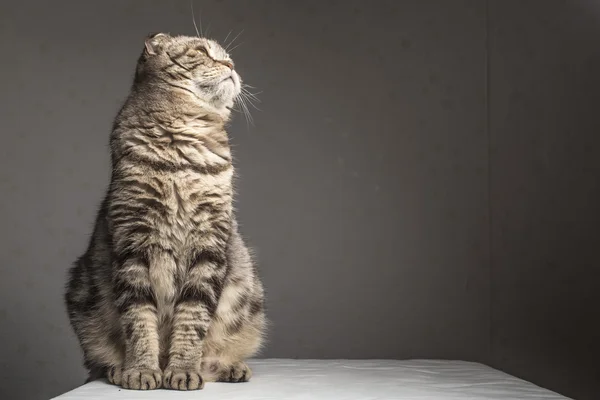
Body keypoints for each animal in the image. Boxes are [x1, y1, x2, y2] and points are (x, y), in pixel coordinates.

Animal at [63, 33, 268, 390]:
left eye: (227, 56)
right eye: (202, 52)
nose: (230, 64)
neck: (181, 157)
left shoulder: (209, 245)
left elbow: (193, 317)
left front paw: (183, 369)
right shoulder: (132, 244)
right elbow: (138, 319)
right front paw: (142, 370)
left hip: (250, 291)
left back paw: (227, 367)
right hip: (81, 294)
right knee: (98, 362)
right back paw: (118, 369)